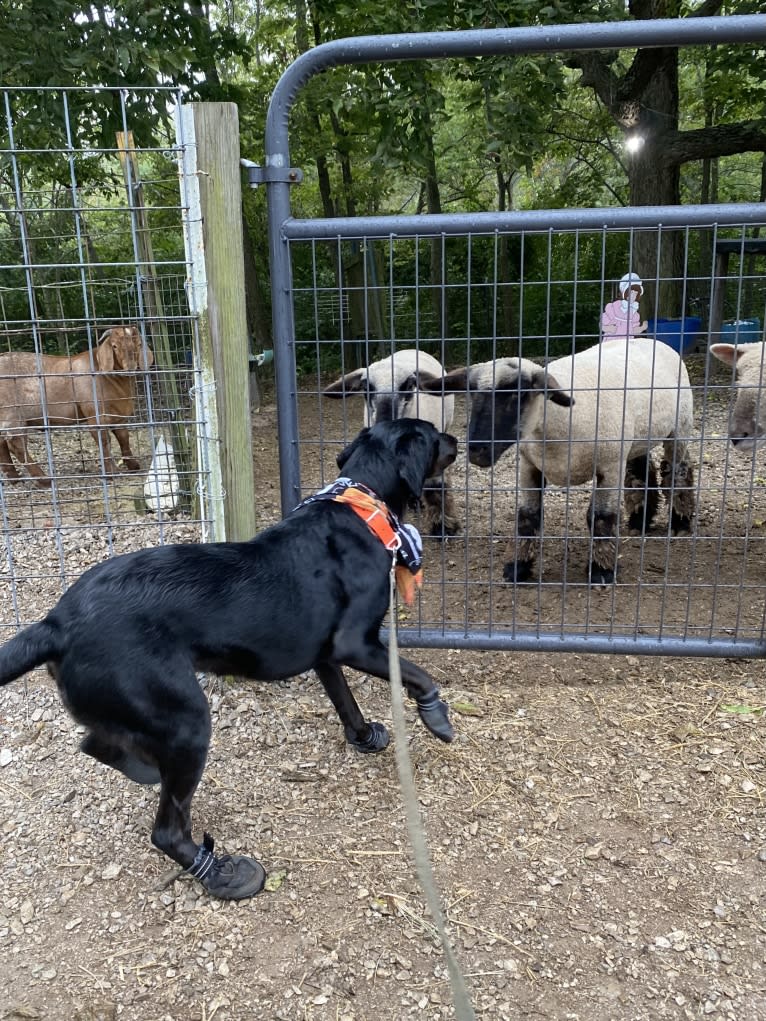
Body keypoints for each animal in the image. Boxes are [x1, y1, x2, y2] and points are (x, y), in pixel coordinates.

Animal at [0, 326, 154, 485]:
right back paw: (44, 480)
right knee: (16, 444)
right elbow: (104, 440)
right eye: (114, 346)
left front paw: (133, 465)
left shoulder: (117, 414)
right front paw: (112, 472)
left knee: (2, 443)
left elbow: (123, 437)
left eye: (139, 344)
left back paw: (13, 477)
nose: (130, 368)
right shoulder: (94, 414)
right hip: (13, 413)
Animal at [0, 422, 455, 902]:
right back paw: (220, 873)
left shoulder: (325, 655)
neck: (360, 504)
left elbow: (346, 703)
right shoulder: (356, 643)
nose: (457, 441)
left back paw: (144, 769)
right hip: (186, 718)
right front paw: (437, 717)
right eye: (433, 436)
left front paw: (365, 736)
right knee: (166, 829)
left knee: (95, 744)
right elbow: (418, 675)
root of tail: (56, 623)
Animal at [324, 351, 461, 539]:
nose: (384, 420)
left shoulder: (436, 452)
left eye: (409, 384)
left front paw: (443, 526)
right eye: (366, 386)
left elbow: (436, 487)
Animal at [420, 338, 694, 588]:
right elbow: (527, 516)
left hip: (680, 427)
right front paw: (517, 568)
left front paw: (601, 572)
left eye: (517, 395)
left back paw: (680, 523)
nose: (477, 450)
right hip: (638, 438)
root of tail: (649, 339)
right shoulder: (530, 465)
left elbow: (601, 518)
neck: (557, 423)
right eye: (473, 396)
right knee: (640, 471)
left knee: (678, 471)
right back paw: (639, 522)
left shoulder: (610, 466)